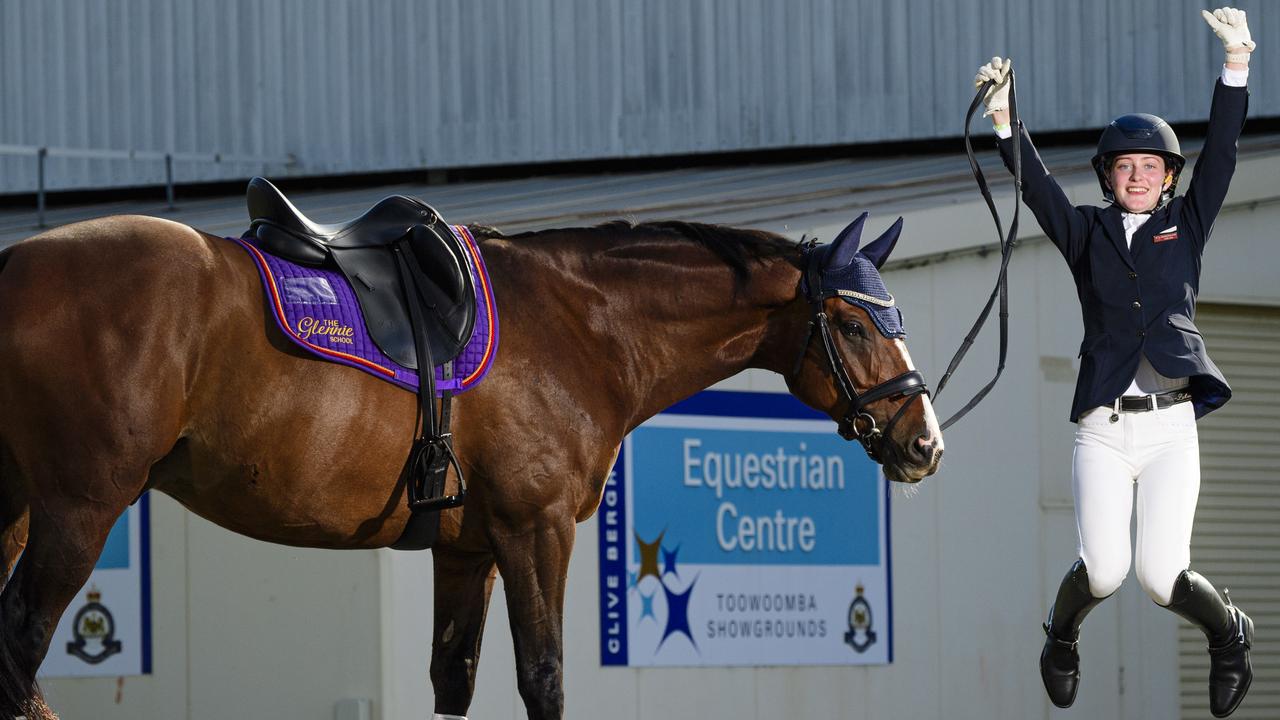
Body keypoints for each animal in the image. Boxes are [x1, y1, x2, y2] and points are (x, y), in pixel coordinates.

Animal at [0, 203, 942, 717]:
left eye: (895, 317)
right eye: (853, 323)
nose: (924, 442)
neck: (577, 324)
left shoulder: (467, 550)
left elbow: (452, 680)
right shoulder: (537, 532)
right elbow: (545, 679)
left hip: (18, 508)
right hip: (79, 510)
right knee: (19, 647)